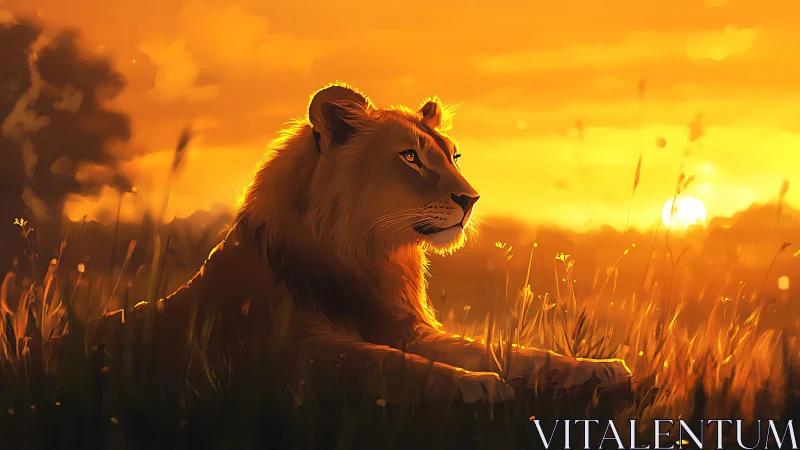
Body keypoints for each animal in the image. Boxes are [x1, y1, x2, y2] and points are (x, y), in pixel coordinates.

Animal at [83, 82, 632, 405]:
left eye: (453, 155)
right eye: (410, 157)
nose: (471, 199)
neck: (370, 256)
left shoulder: (406, 326)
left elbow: (505, 349)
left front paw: (597, 369)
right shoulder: (287, 350)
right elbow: (383, 359)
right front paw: (477, 384)